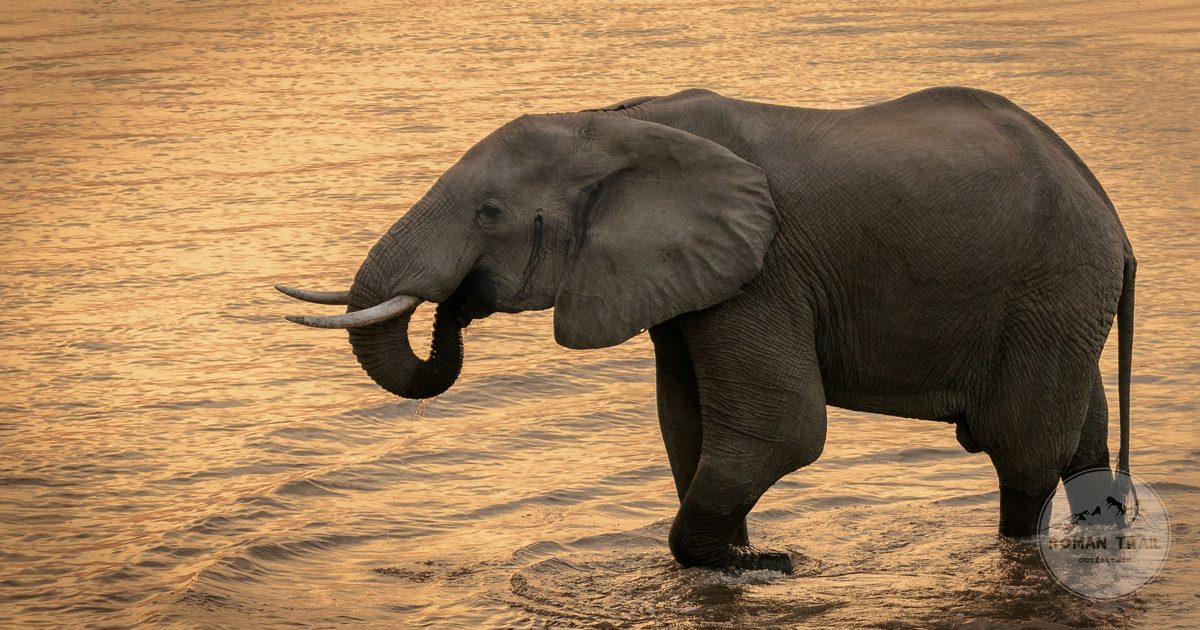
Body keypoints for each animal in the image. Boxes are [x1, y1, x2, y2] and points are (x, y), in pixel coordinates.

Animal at [278, 86, 1136, 574]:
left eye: (489, 214)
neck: (618, 123)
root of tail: (1110, 213)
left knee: (1020, 448)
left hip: (1052, 288)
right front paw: (745, 555)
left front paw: (764, 564)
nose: (456, 305)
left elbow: (780, 427)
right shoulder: (685, 278)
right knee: (1081, 438)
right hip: (1065, 305)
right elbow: (685, 425)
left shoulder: (765, 268)